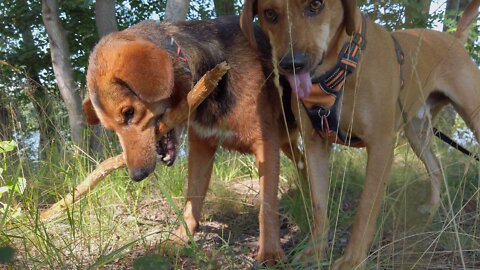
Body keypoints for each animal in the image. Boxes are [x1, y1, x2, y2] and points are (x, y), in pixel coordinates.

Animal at [80, 16, 302, 264]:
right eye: (111, 128)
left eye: (129, 112)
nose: (137, 176)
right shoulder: (201, 147)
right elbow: (192, 199)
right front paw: (180, 239)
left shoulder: (266, 145)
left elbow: (267, 206)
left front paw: (271, 251)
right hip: (287, 141)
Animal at [242, 0, 480, 268]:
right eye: (269, 14)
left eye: (316, 5)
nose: (293, 64)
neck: (340, 67)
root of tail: (454, 40)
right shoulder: (314, 146)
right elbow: (319, 207)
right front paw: (315, 252)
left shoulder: (380, 147)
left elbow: (365, 210)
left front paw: (352, 260)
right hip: (416, 133)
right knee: (435, 166)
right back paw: (431, 206)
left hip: (472, 116)